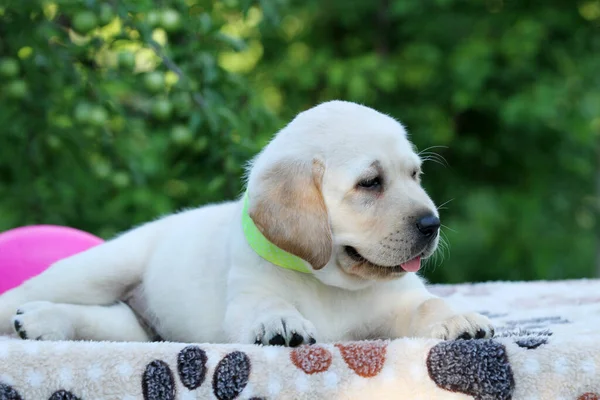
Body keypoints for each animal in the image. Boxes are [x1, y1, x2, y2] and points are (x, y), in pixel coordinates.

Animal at [0, 101, 492, 346]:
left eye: (415, 176)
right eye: (371, 183)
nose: (432, 223)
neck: (331, 283)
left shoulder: (400, 301)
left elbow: (428, 304)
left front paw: (459, 318)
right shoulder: (248, 296)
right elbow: (266, 306)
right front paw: (281, 323)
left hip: (141, 327)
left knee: (108, 323)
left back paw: (43, 322)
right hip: (98, 271)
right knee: (29, 295)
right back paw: (29, 315)